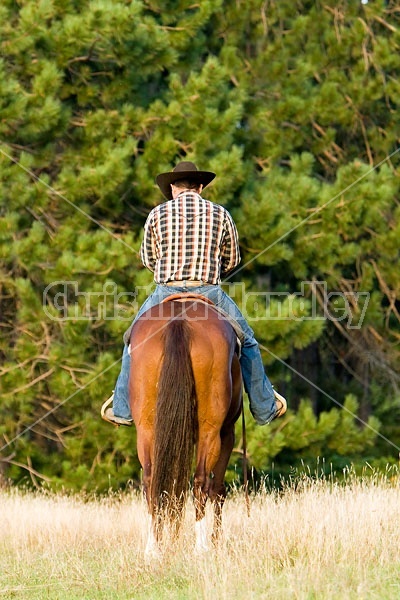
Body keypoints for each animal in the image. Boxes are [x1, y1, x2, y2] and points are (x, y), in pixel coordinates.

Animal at [129, 296, 241, 556]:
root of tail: (178, 322)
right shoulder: (228, 432)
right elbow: (218, 488)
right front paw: (216, 540)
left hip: (146, 428)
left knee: (151, 481)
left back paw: (153, 547)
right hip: (212, 430)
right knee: (202, 482)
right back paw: (202, 546)